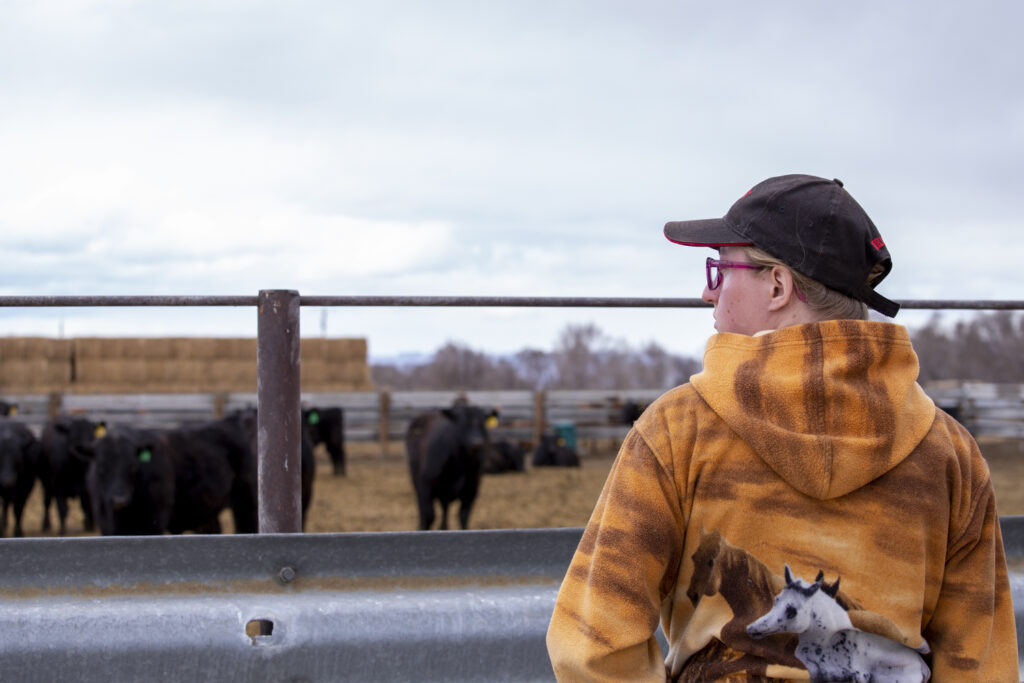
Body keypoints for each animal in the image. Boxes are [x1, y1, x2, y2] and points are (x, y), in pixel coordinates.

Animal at [405, 403, 497, 532]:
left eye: (482, 422)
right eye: (461, 423)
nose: (477, 443)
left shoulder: (471, 491)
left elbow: (463, 516)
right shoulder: (425, 486)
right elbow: (429, 515)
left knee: (445, 509)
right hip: (418, 483)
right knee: (424, 510)